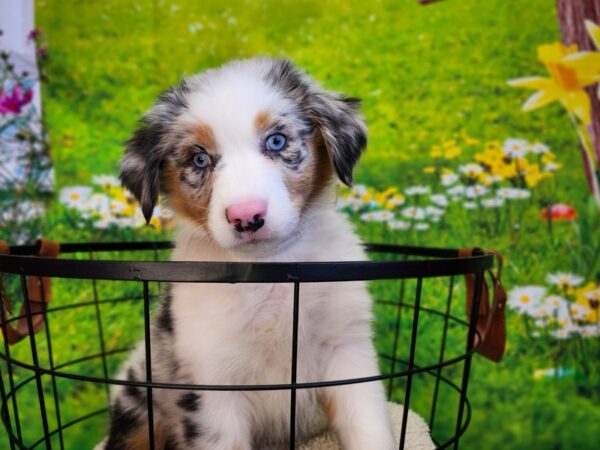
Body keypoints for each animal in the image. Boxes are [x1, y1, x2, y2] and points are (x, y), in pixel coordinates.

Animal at [98, 58, 394, 448]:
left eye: (277, 140)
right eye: (199, 159)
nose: (246, 216)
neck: (271, 269)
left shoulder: (348, 350)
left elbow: (370, 428)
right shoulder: (211, 384)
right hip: (138, 409)